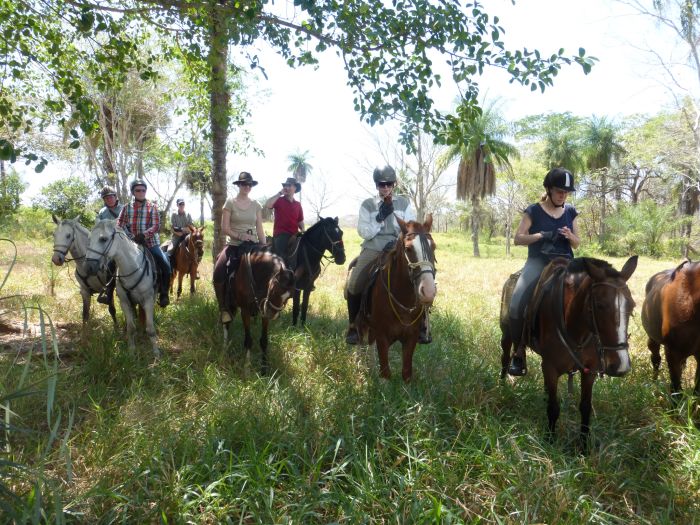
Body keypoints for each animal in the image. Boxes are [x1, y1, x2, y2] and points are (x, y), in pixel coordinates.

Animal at [356, 213, 438, 380]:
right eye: (408, 248)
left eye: (433, 247)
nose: (428, 292)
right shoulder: (382, 337)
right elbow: (386, 373)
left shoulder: (411, 338)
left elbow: (406, 373)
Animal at [498, 256, 640, 444]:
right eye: (600, 305)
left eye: (632, 306)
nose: (621, 366)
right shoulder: (550, 368)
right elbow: (553, 407)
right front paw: (550, 441)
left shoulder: (590, 371)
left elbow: (585, 407)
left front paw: (584, 445)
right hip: (506, 335)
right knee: (505, 358)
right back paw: (502, 386)